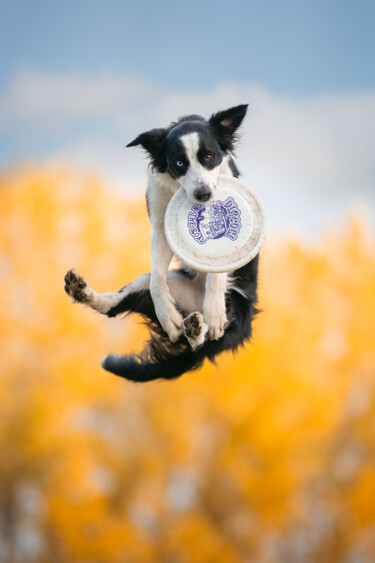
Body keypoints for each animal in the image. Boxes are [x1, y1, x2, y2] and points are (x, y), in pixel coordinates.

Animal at [64, 104, 258, 384]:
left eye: (208, 156)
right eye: (179, 163)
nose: (203, 195)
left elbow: (217, 271)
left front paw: (213, 312)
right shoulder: (159, 227)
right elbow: (158, 279)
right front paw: (167, 315)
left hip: (237, 305)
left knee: (203, 340)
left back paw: (200, 325)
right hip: (147, 286)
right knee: (116, 304)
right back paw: (81, 290)